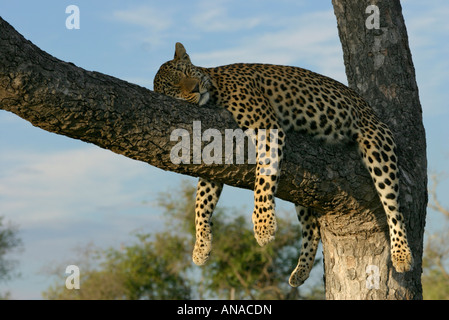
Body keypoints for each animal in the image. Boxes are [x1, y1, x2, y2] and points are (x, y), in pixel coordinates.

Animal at [152, 43, 412, 288]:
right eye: (175, 88)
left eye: (187, 72)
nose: (196, 88)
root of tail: (370, 110)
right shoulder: (216, 154)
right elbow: (201, 201)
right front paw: (201, 246)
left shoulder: (266, 126)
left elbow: (264, 175)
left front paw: (263, 225)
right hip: (305, 193)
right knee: (311, 228)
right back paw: (301, 272)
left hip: (377, 145)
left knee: (393, 207)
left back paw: (402, 255)